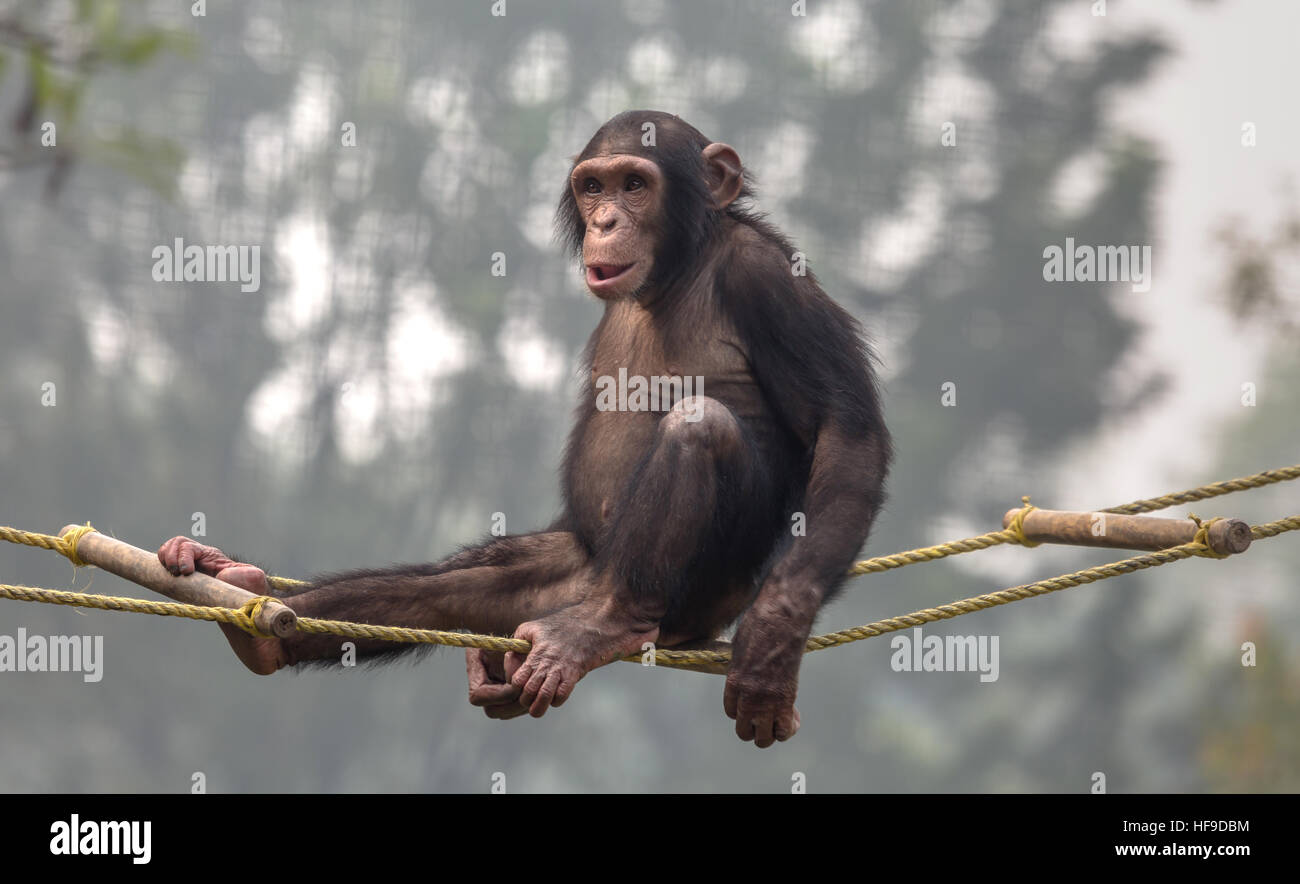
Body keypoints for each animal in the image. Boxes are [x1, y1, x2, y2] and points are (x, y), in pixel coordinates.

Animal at [154, 108, 894, 743]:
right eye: (594, 186)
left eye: (636, 184)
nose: (606, 220)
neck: (682, 265)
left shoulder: (767, 280)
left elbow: (846, 432)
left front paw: (772, 644)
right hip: (563, 579)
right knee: (445, 594)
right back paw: (253, 609)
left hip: (698, 599)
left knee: (700, 428)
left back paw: (608, 624)